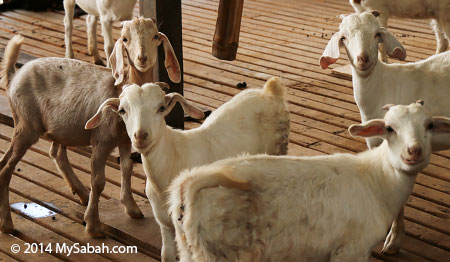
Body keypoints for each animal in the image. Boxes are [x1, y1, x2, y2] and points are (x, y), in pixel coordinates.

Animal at [0, 16, 180, 237]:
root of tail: (13, 76)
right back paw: (7, 224)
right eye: (125, 39)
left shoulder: (124, 140)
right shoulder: (101, 140)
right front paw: (93, 225)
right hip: (26, 125)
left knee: (55, 153)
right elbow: (98, 181)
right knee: (6, 169)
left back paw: (82, 194)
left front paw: (132, 208)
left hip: (58, 128)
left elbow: (127, 168)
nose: (142, 58)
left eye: (155, 36)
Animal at [87, 77, 292, 260]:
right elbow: (167, 255)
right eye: (122, 110)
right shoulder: (165, 224)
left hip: (279, 149)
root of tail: (269, 90)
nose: (141, 136)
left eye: (161, 108)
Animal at [168, 102, 450, 262]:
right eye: (389, 128)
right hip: (217, 253)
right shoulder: (350, 250)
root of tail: (188, 183)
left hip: (187, 249)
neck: (377, 180)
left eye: (429, 125)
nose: (414, 151)